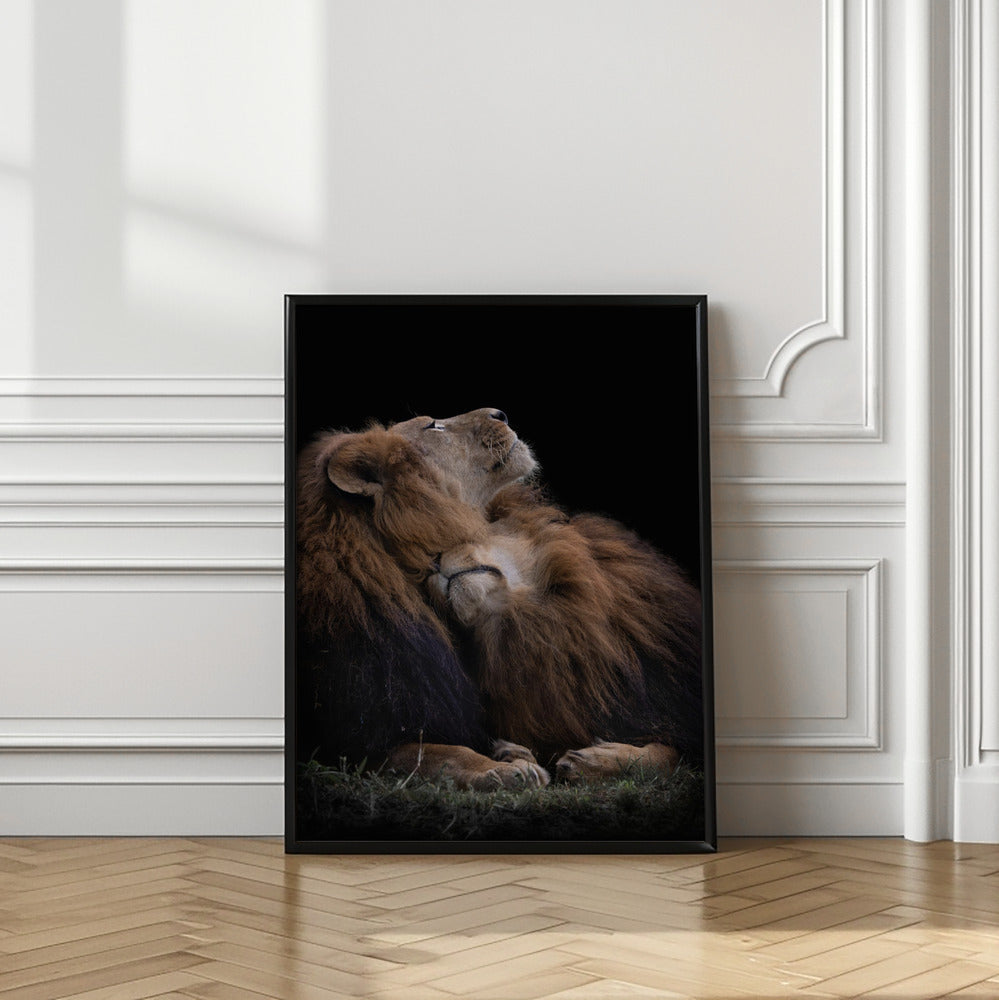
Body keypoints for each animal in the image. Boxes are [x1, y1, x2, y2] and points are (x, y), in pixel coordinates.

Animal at [295, 420, 549, 790]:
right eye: (433, 425)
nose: (501, 413)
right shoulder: (360, 746)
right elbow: (443, 754)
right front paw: (502, 770)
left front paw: (514, 754)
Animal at [393, 408, 705, 783]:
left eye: (464, 531)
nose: (432, 562)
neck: (542, 623)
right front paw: (510, 753)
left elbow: (670, 755)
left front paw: (594, 759)